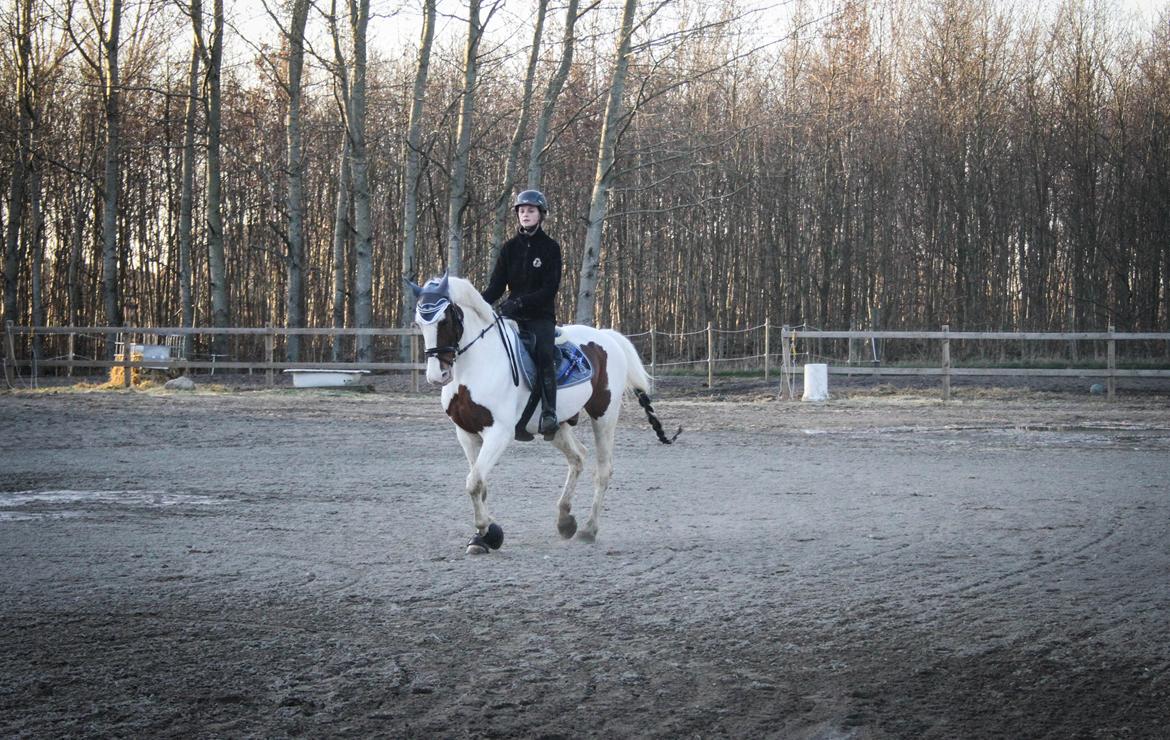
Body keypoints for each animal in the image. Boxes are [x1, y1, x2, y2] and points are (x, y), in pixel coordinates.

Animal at [407, 275, 678, 552]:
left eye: (445, 320)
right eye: (419, 322)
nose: (437, 375)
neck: (475, 366)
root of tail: (606, 336)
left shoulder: (498, 433)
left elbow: (474, 483)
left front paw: (486, 531)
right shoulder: (466, 433)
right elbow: (480, 484)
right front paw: (485, 536)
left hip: (603, 416)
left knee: (603, 471)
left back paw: (589, 529)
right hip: (556, 426)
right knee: (578, 457)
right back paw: (565, 520)